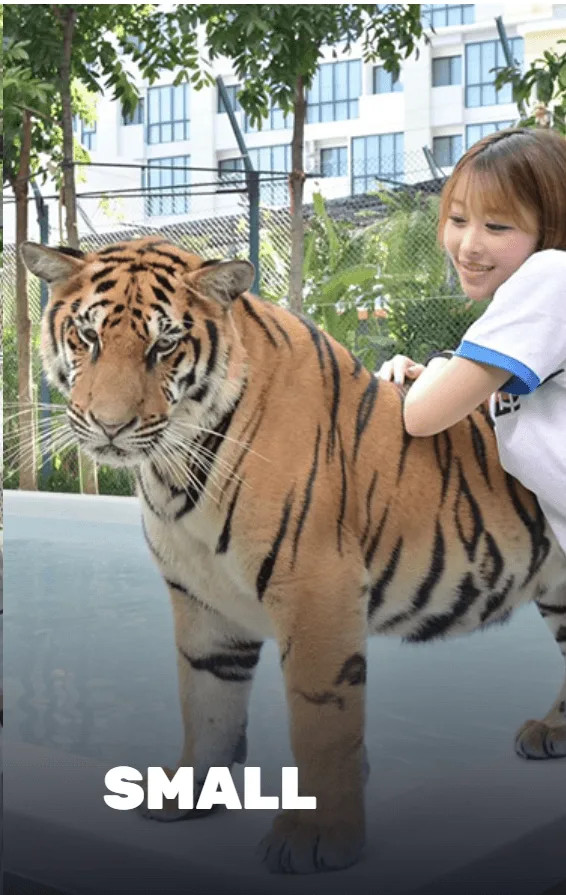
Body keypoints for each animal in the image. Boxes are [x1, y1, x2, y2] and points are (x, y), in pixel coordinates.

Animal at [22, 236, 566, 876]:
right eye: (87, 336)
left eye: (164, 345)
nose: (110, 427)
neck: (174, 471)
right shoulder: (200, 597)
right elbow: (206, 700)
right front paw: (187, 797)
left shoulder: (316, 588)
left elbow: (321, 720)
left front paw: (317, 837)